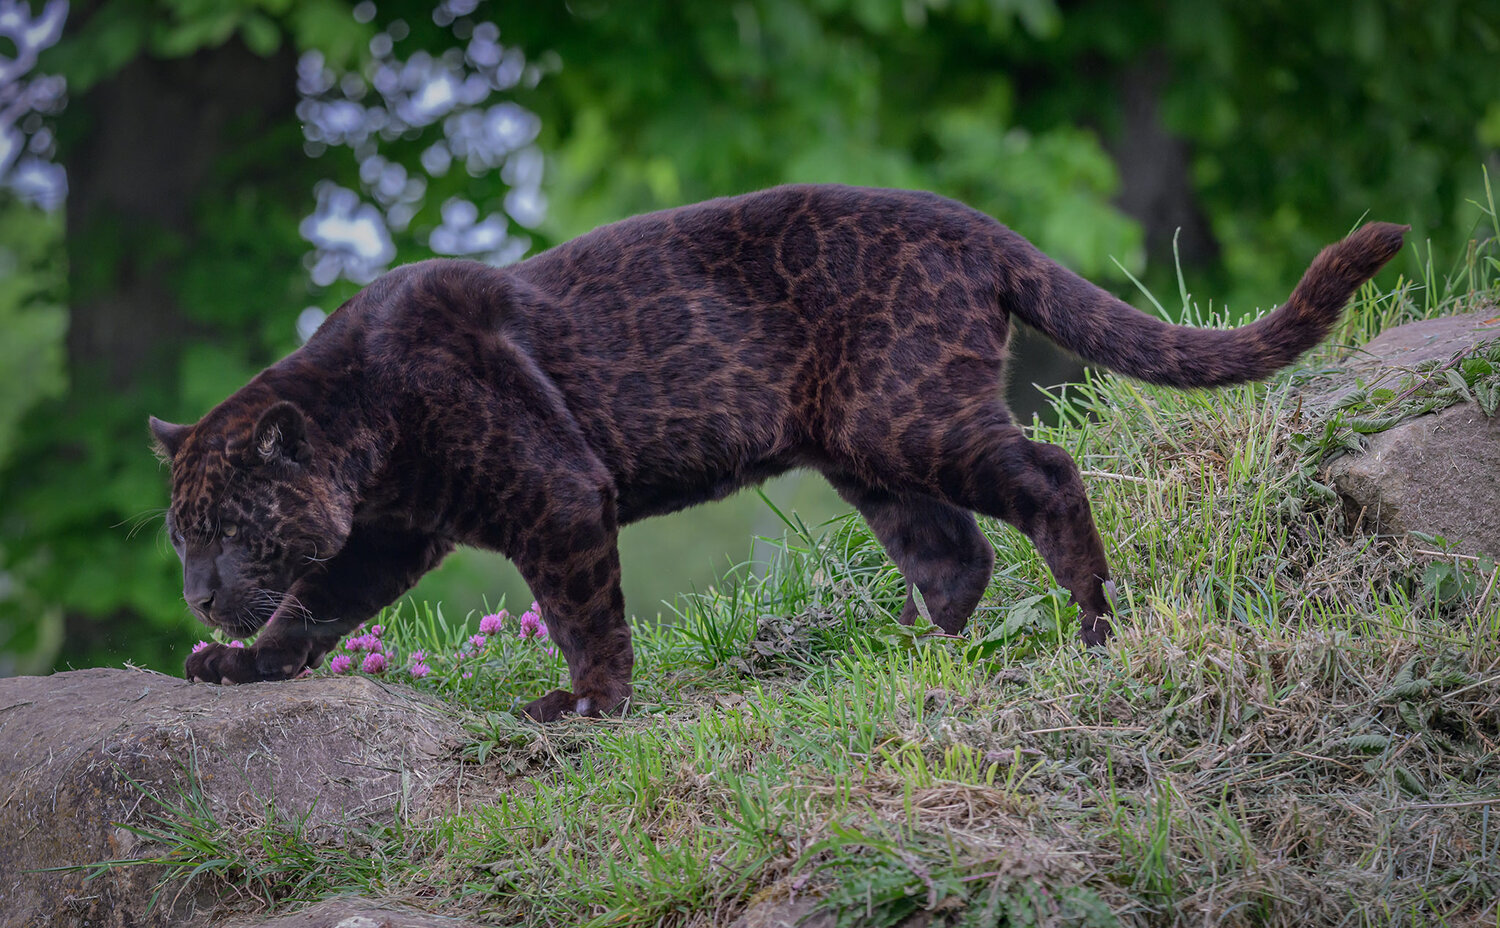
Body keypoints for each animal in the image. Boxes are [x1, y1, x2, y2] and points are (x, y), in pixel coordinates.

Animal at [150, 184, 1407, 721]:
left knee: (1048, 477)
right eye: (180, 536)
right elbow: (311, 607)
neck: (362, 421)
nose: (200, 594)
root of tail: (973, 224)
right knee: (952, 554)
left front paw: (588, 704)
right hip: (868, 448)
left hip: (910, 416)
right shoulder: (390, 535)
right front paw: (237, 664)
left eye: (228, 526)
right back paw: (904, 658)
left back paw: (1095, 623)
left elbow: (580, 608)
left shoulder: (553, 491)